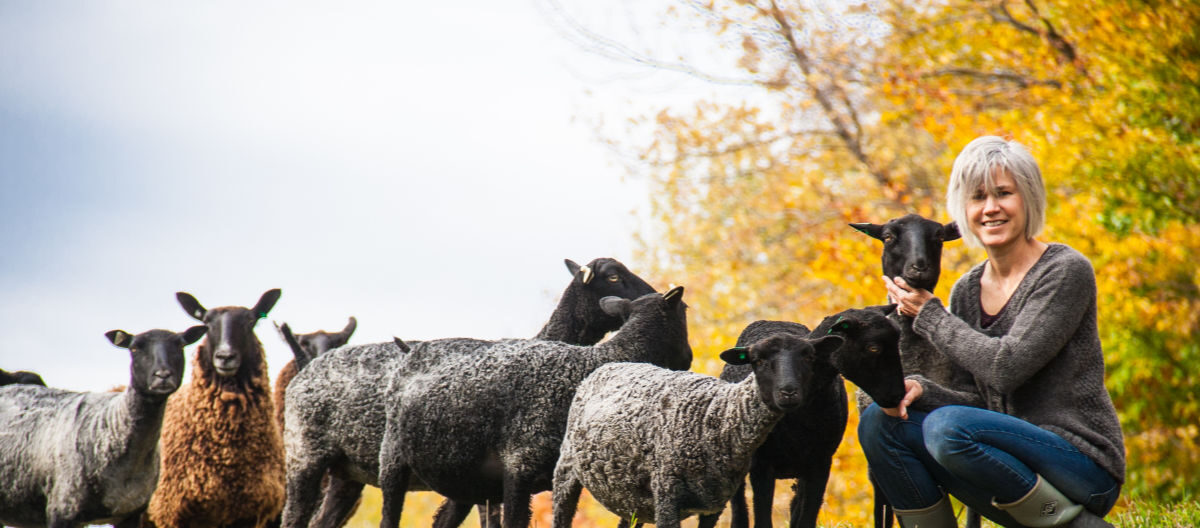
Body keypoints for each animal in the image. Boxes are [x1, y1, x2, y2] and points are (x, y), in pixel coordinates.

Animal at [376, 286, 692, 528]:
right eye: (684, 312)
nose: (689, 357)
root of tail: (410, 350)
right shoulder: (518, 468)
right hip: (392, 458)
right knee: (389, 517)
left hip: (465, 477)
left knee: (443, 520)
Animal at [550, 330, 853, 528]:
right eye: (758, 361)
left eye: (809, 357)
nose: (788, 392)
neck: (715, 417)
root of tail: (608, 367)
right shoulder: (667, 497)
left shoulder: (713, 504)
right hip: (565, 472)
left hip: (631, 494)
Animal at [718, 306, 907, 528]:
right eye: (873, 348)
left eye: (810, 357)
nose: (897, 395)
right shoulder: (762, 465)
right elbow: (762, 519)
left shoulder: (820, 463)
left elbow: (806, 518)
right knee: (740, 510)